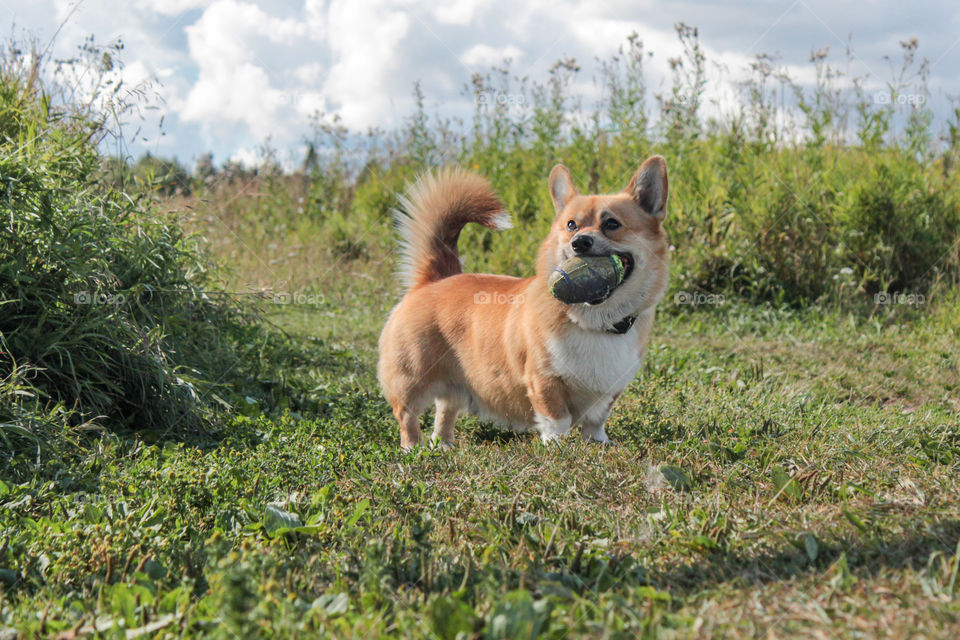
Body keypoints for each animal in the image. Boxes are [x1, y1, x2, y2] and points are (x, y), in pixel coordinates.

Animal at [376, 157, 668, 448]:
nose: (580, 243)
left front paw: (599, 444)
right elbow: (556, 419)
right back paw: (413, 450)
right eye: (571, 225)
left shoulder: (609, 390)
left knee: (445, 412)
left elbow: (596, 421)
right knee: (407, 416)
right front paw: (558, 447)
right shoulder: (544, 381)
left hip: (456, 385)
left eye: (612, 224)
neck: (593, 321)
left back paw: (443, 447)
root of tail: (435, 279)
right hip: (411, 380)